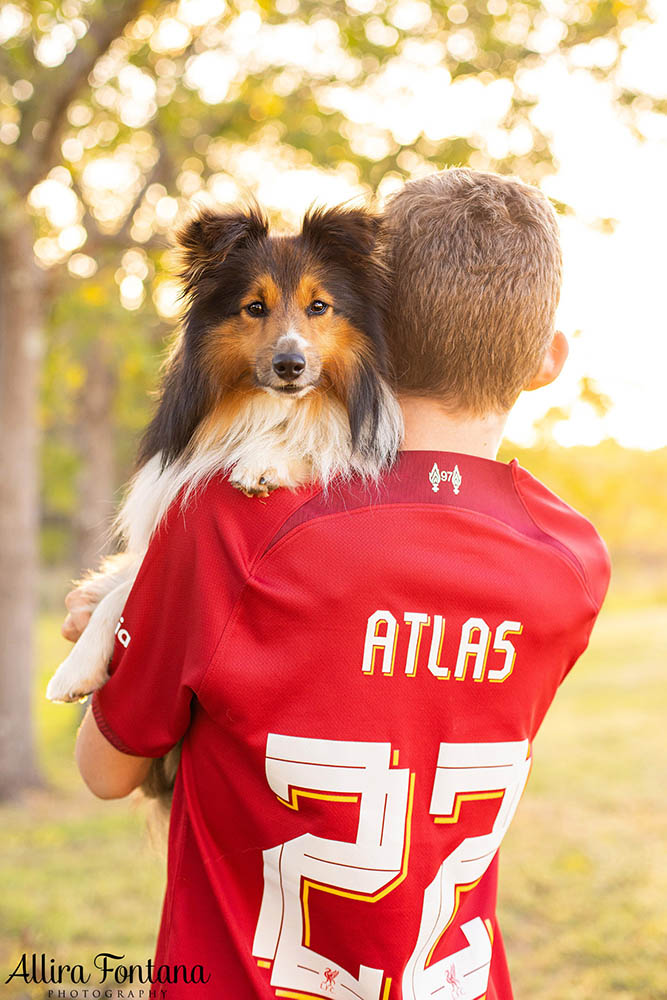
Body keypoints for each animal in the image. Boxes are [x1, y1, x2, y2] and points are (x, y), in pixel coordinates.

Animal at [48, 201, 402, 712]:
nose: (290, 366)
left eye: (319, 306)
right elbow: (123, 588)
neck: (270, 405)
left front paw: (265, 461)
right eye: (254, 307)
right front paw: (75, 668)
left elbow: (319, 444)